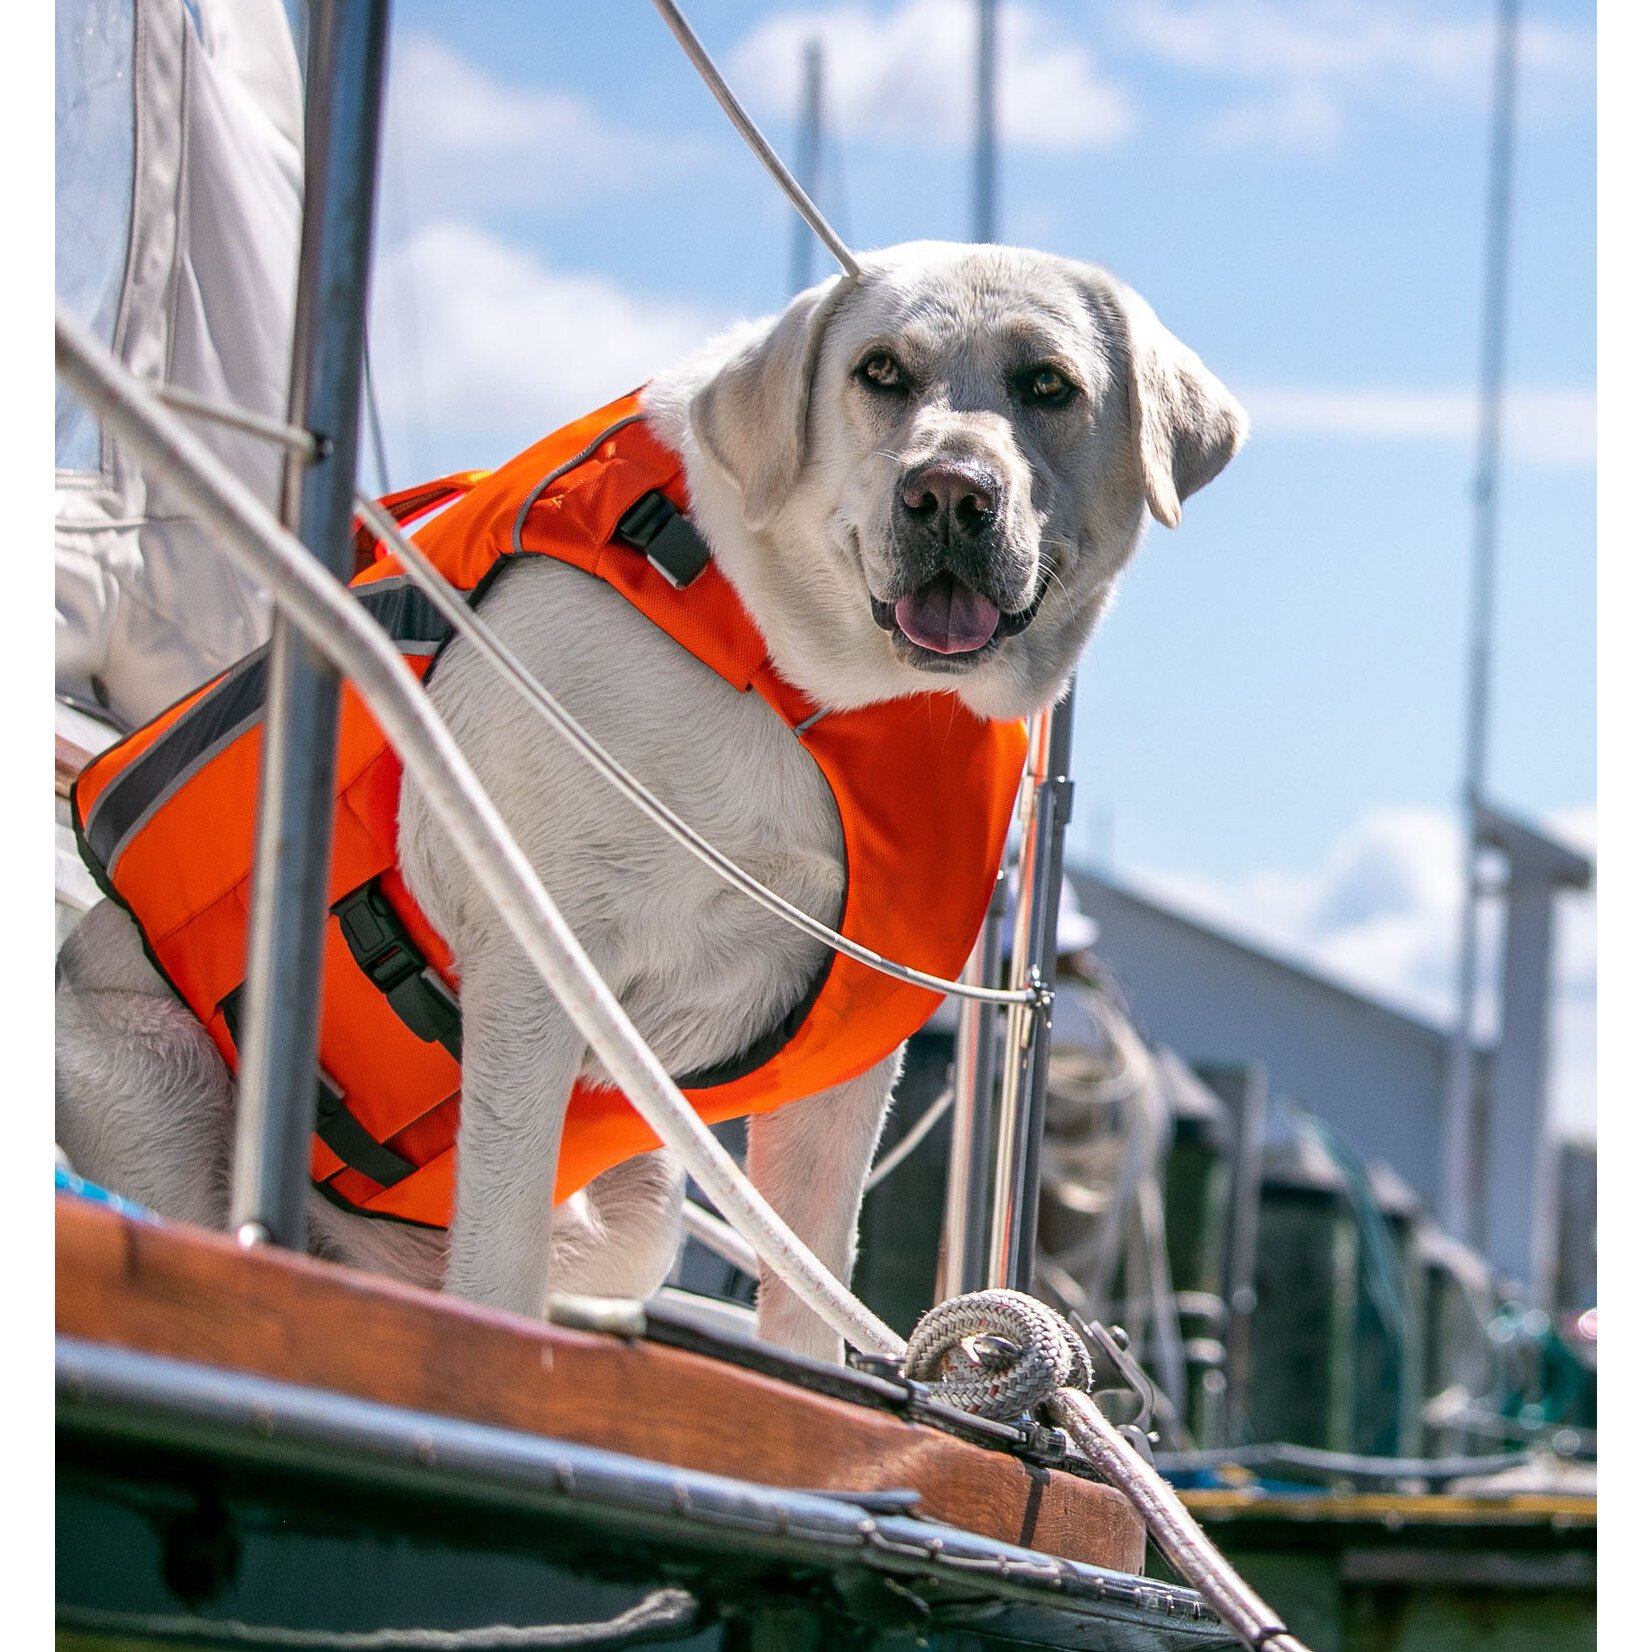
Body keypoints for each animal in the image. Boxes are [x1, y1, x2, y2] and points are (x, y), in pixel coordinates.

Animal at [51, 241, 1242, 1354]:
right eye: (880, 371)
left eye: (1048, 384)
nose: (948, 490)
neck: (810, 687)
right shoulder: (535, 959)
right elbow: (498, 1262)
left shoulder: (852, 1055)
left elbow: (811, 1285)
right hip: (161, 1090)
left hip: (637, 1212)